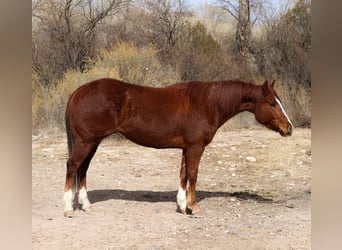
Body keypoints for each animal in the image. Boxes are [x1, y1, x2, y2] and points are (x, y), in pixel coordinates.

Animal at [62, 77, 292, 217]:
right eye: (272, 103)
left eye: (279, 101)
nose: (289, 128)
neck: (207, 103)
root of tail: (78, 91)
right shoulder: (196, 147)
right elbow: (193, 174)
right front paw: (194, 207)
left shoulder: (186, 148)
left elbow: (183, 175)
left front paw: (182, 206)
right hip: (86, 142)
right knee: (73, 166)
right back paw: (68, 208)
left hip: (92, 143)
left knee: (83, 169)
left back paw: (85, 205)